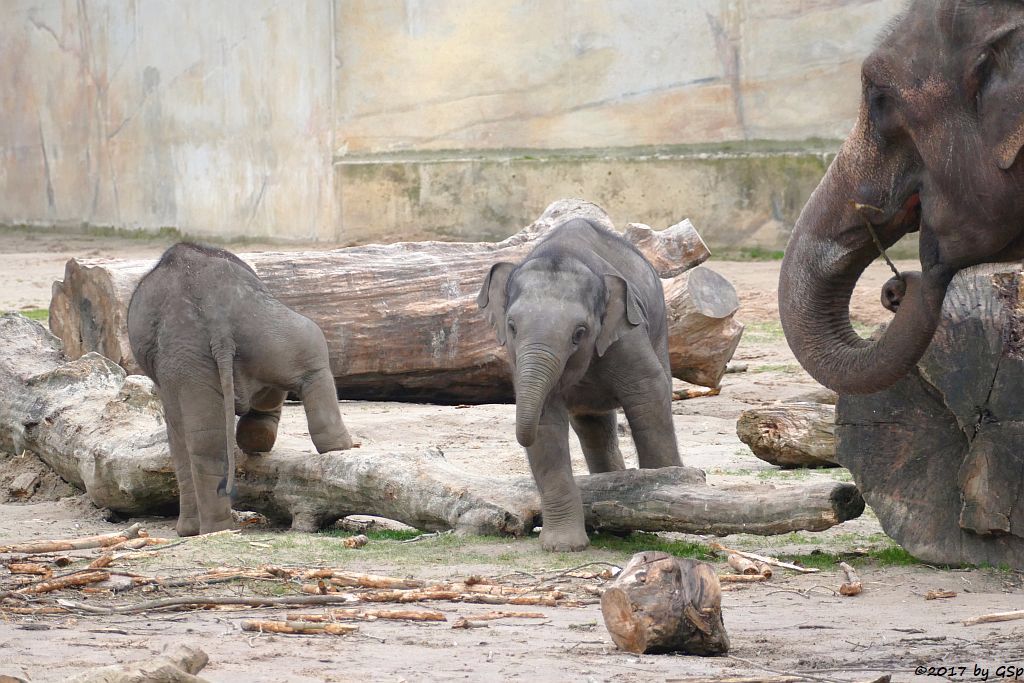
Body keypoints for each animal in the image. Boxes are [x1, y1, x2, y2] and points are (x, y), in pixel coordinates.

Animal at [128, 242, 354, 536]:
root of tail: (217, 322)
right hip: (259, 331)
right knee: (313, 347)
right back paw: (340, 448)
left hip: (228, 343)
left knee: (201, 441)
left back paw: (208, 530)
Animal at [477, 222, 679, 552]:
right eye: (512, 326)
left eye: (579, 333)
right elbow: (546, 426)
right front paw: (563, 546)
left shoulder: (627, 335)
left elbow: (649, 395)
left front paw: (669, 488)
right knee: (594, 427)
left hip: (660, 330)